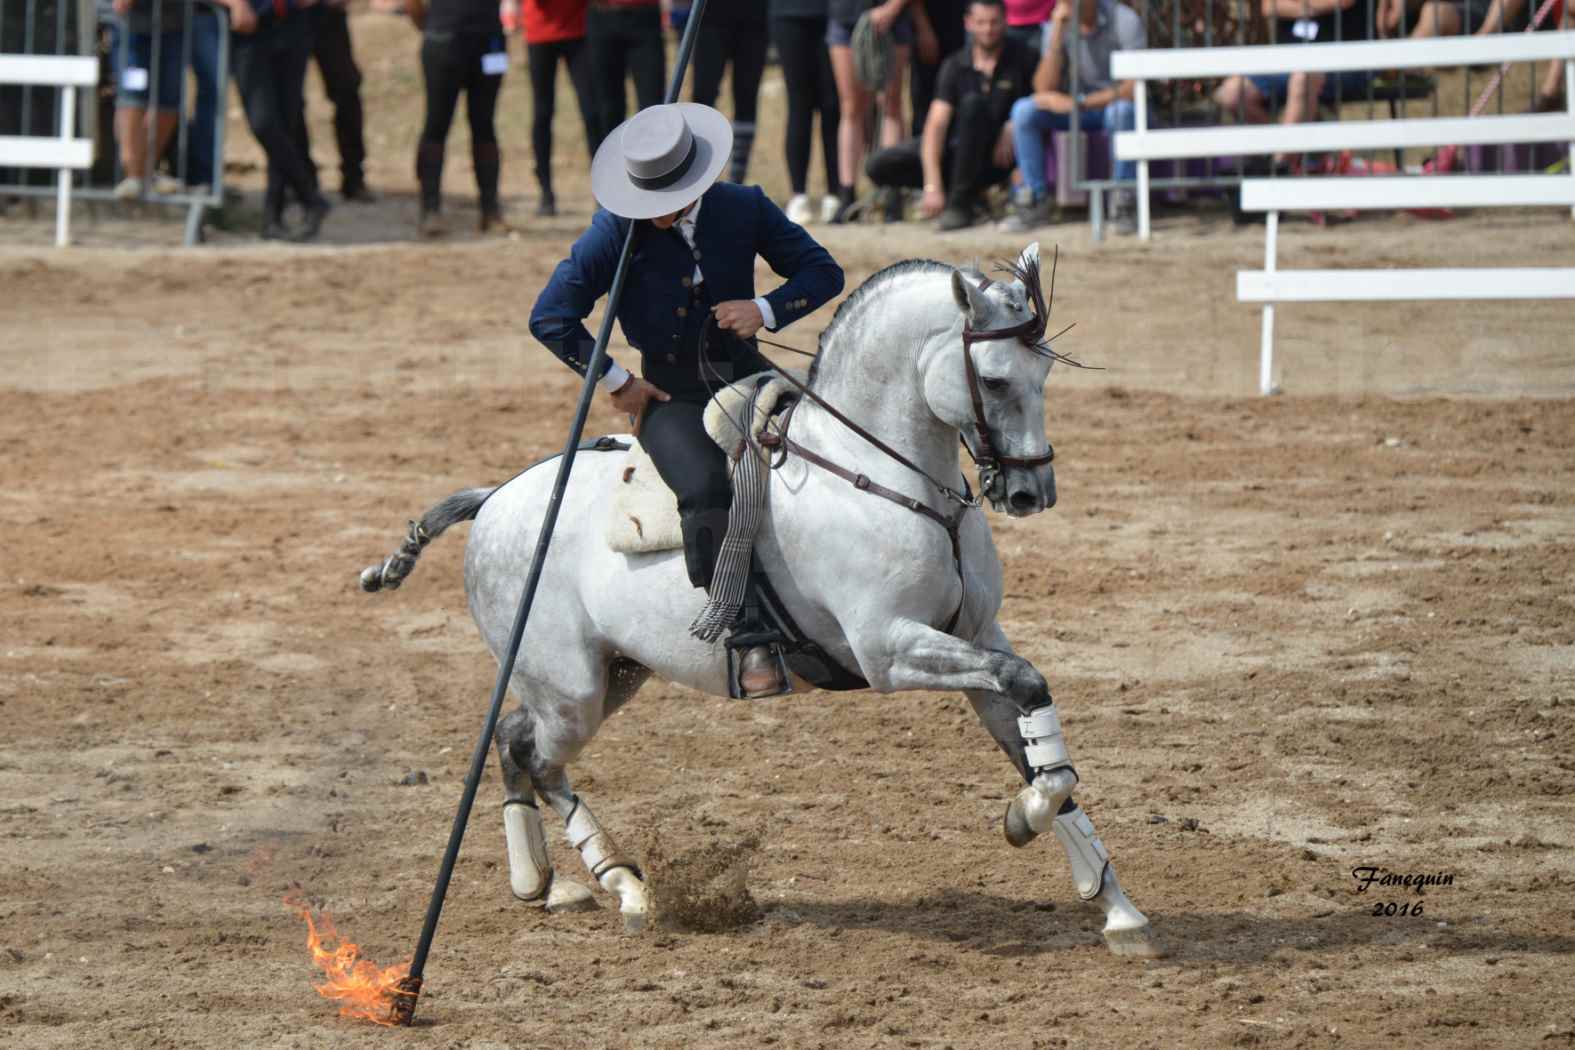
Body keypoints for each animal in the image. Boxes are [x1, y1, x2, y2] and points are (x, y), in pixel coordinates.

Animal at [362, 244, 1165, 963]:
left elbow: (1038, 742)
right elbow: (1031, 713)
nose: (1032, 493)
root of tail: (494, 498)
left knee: (516, 744)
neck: (885, 478)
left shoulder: (978, 637)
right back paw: (612, 885)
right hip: (571, 690)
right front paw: (1021, 822)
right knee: (532, 752)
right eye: (994, 381)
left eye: (1045, 372)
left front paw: (1116, 907)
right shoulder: (888, 650)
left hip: (611, 677)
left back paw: (561, 884)